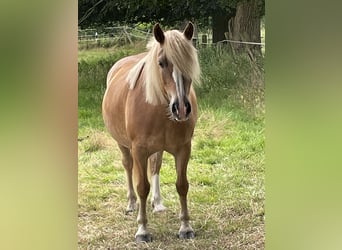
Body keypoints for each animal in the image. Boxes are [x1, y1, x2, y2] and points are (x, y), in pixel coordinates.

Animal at [101, 22, 200, 242]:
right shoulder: (139, 150)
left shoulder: (183, 148)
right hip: (123, 145)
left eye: (189, 62)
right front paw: (142, 230)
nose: (181, 108)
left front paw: (185, 227)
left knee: (155, 166)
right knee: (128, 167)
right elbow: (141, 187)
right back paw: (131, 203)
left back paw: (158, 202)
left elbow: (182, 185)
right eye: (161, 63)